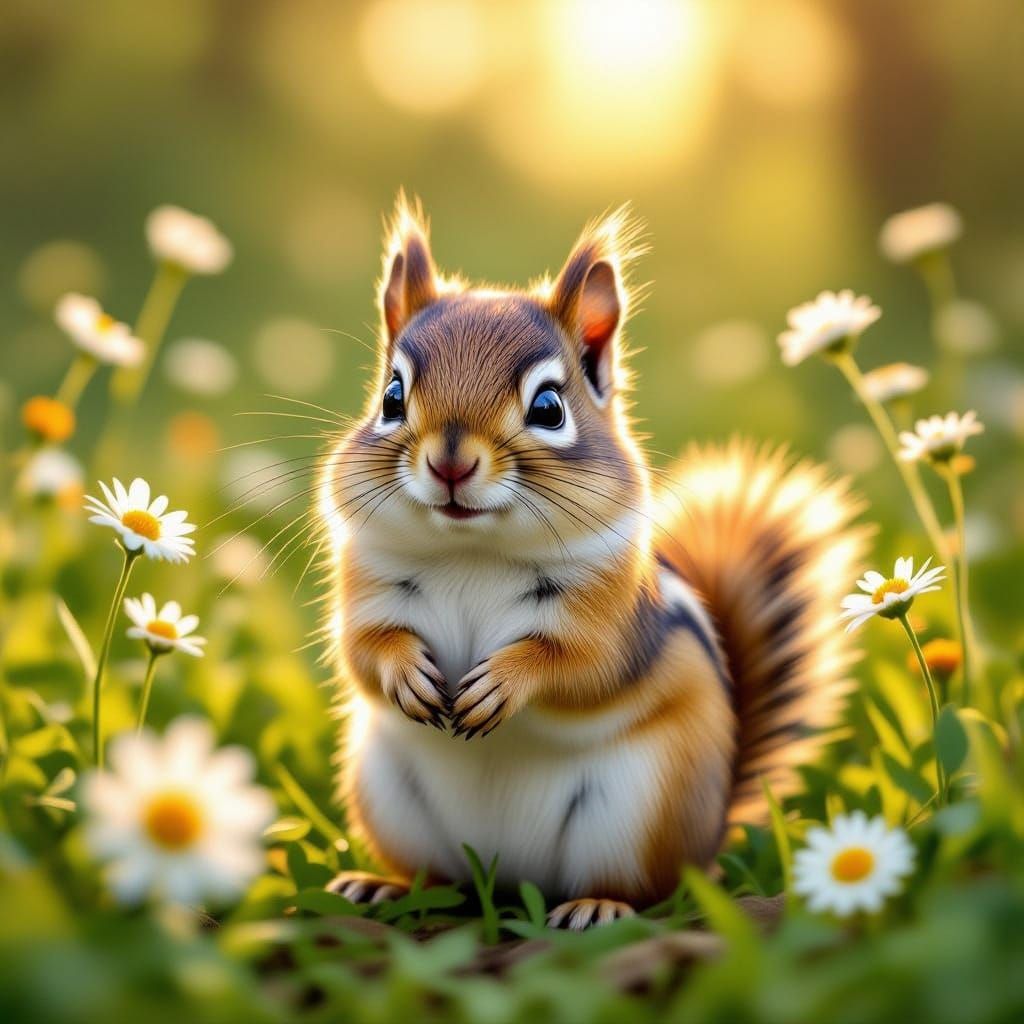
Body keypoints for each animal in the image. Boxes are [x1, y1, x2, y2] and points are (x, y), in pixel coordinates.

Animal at [318, 196, 867, 929]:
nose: (449, 463)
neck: (473, 551)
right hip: (389, 799)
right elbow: (363, 650)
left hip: (640, 812)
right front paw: (407, 674)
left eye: (550, 408)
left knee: (647, 889)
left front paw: (503, 683)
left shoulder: (615, 622)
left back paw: (596, 906)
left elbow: (580, 666)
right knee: (440, 881)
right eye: (391, 398)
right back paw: (383, 887)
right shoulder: (369, 588)